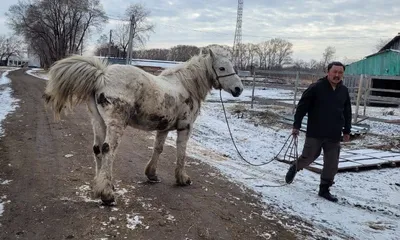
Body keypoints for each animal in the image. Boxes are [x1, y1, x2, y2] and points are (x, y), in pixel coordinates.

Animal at [43, 48, 244, 204]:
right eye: (222, 67)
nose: (239, 89)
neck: (187, 86)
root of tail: (102, 76)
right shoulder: (185, 128)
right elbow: (181, 152)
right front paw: (182, 178)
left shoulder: (163, 128)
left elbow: (158, 149)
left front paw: (152, 174)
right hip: (115, 124)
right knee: (108, 150)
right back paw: (107, 194)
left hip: (98, 122)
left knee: (98, 150)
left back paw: (100, 185)